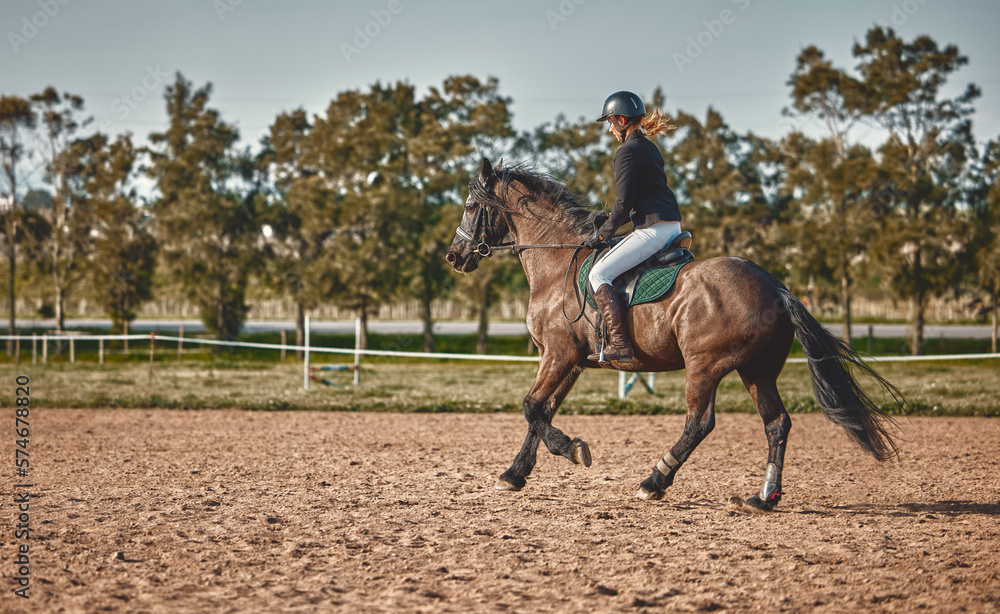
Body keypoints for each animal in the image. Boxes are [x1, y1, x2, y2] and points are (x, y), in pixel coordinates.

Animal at [448, 158, 908, 510]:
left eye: (470, 205)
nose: (455, 256)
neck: (556, 261)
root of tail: (775, 286)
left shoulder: (558, 355)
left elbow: (532, 407)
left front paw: (573, 449)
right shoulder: (571, 360)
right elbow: (542, 411)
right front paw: (514, 474)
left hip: (705, 366)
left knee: (699, 423)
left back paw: (654, 481)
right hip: (757, 370)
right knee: (776, 423)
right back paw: (763, 498)